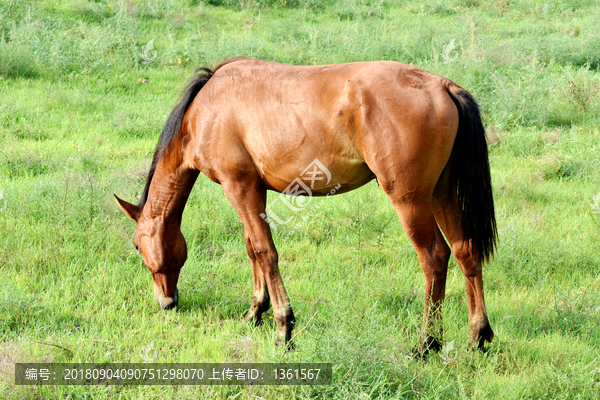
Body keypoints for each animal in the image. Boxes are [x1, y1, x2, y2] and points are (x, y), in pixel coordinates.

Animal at [116, 57, 496, 354]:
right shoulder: (252, 190)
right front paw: (255, 312)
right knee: (465, 251)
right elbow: (253, 248)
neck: (205, 108)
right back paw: (478, 336)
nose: (167, 303)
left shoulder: (239, 187)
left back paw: (426, 343)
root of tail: (442, 86)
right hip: (441, 195)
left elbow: (266, 252)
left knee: (435, 258)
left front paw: (283, 327)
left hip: (410, 201)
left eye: (136, 246)